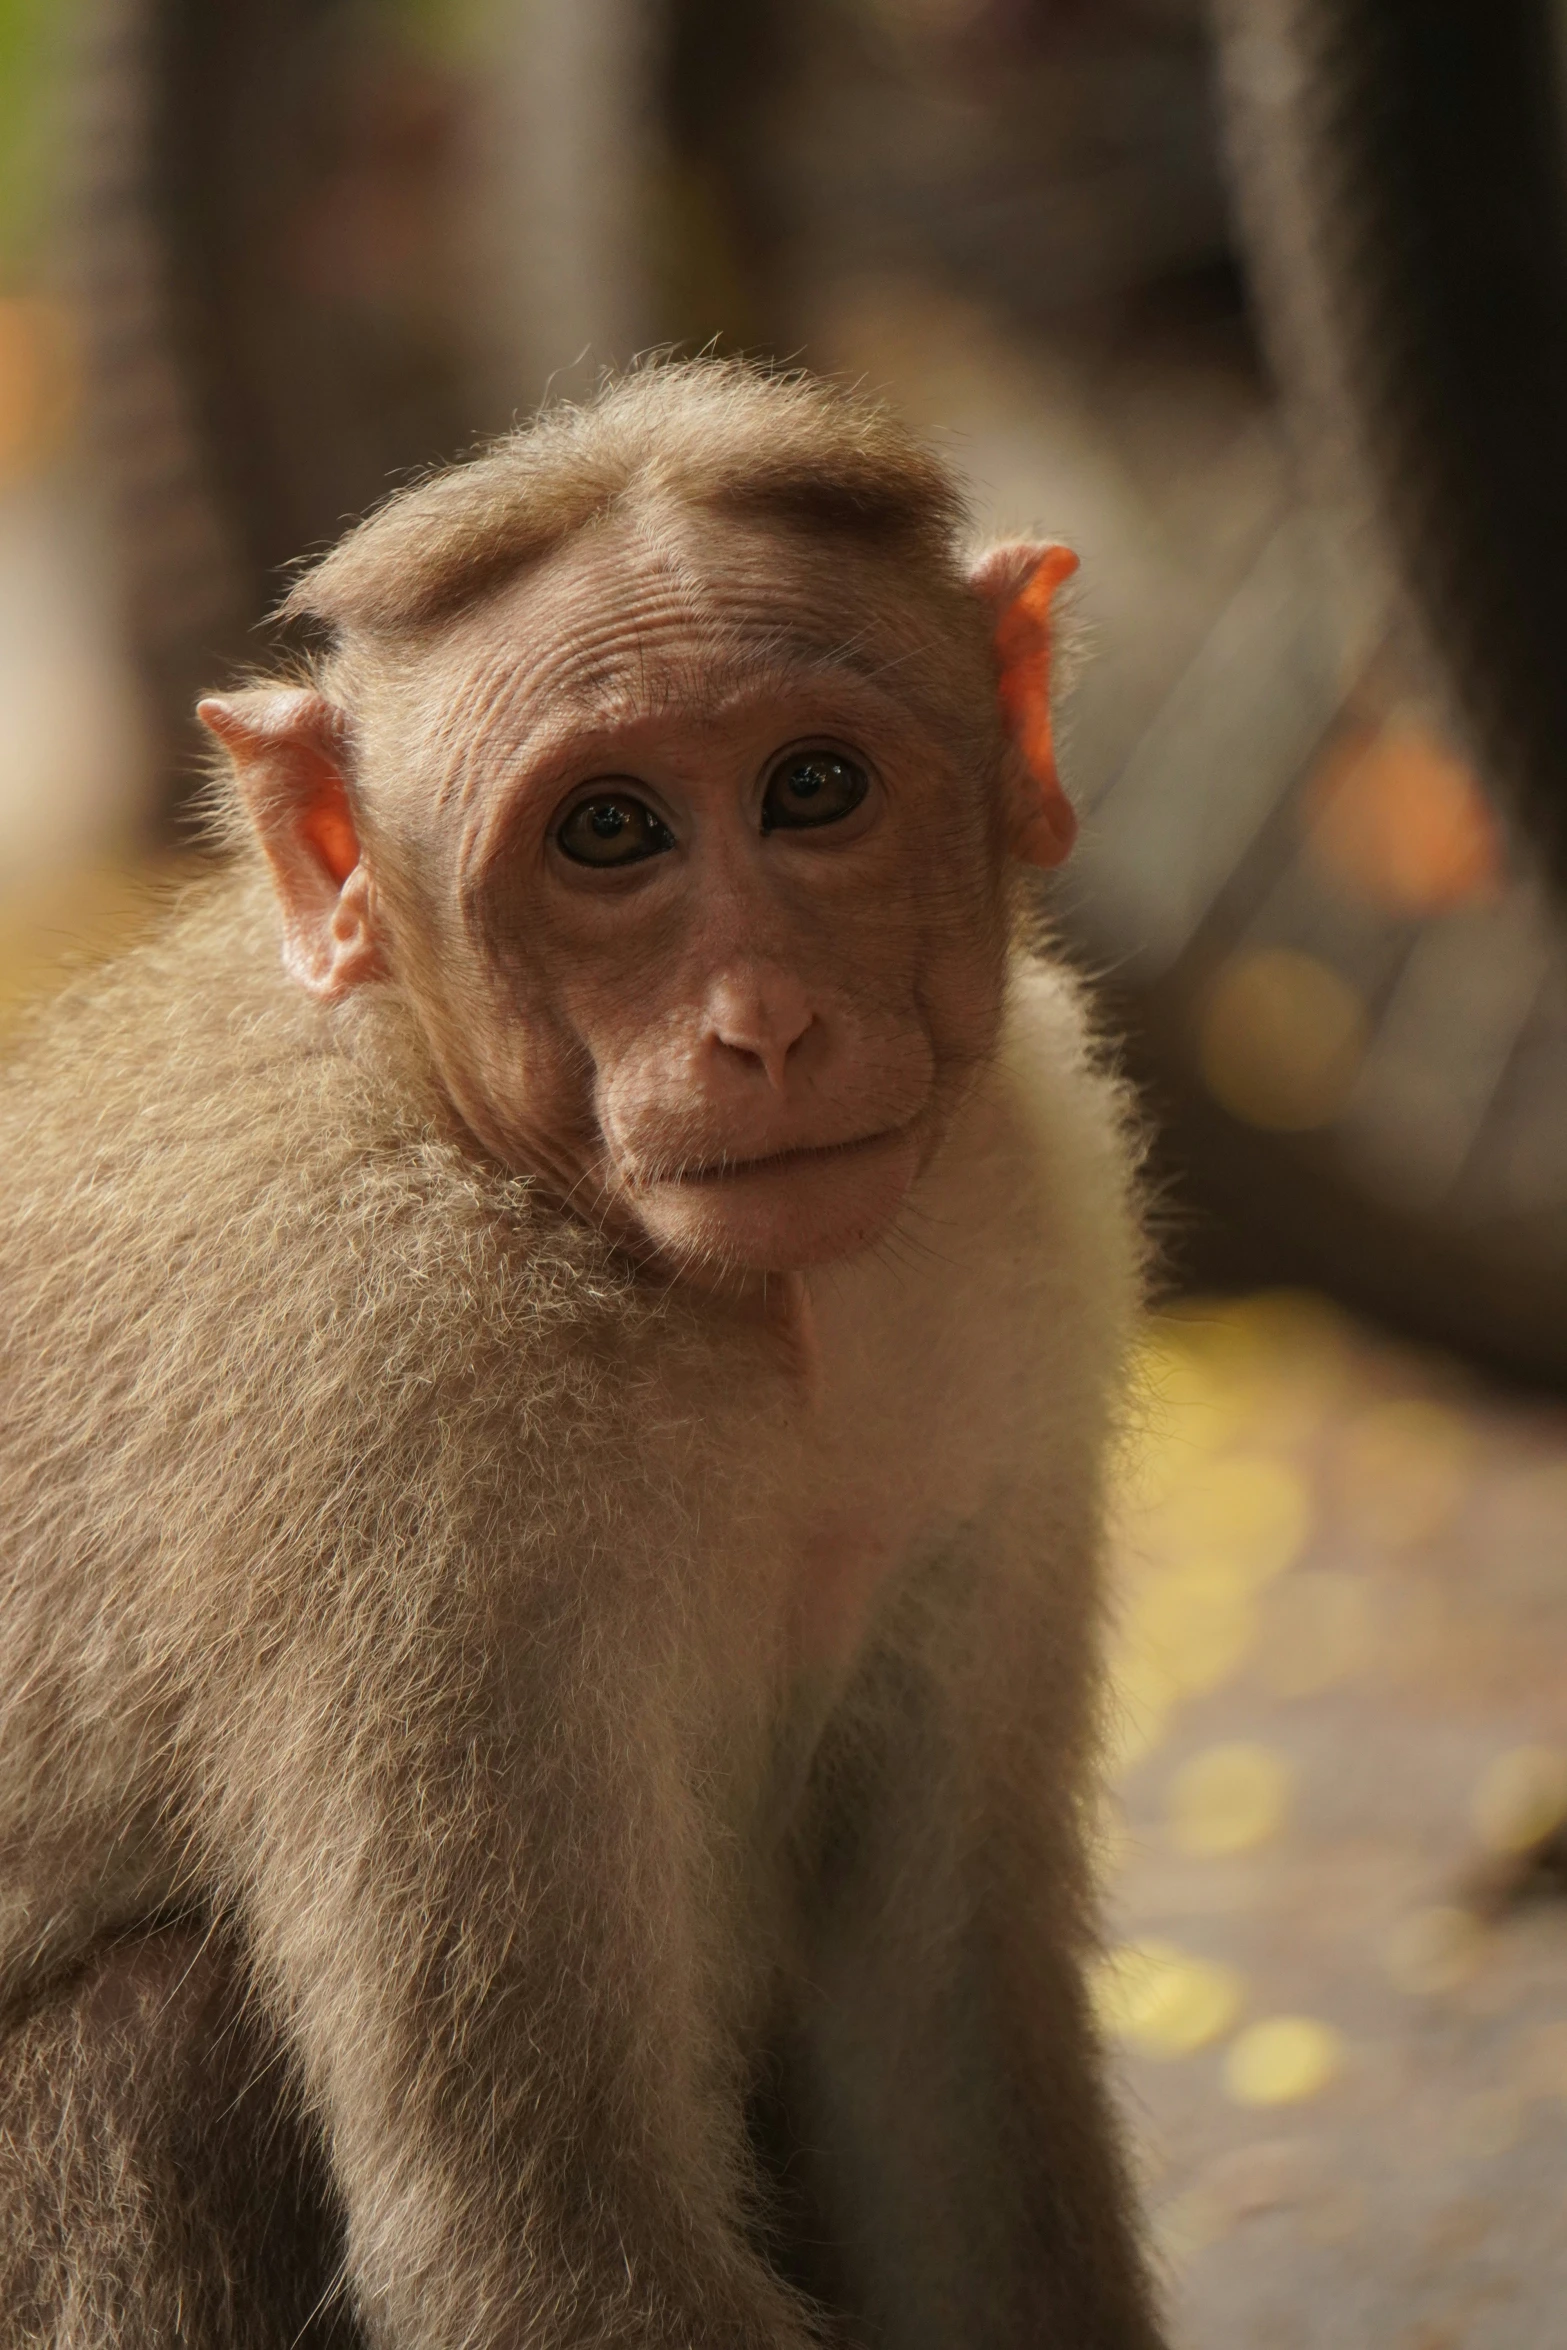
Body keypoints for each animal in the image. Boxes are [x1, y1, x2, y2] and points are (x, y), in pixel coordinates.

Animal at [0, 361, 1160, 2350]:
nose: (762, 1025)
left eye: (813, 790)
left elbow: (933, 2048)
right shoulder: (397, 1423)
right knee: (157, 2044)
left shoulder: (1017, 1248)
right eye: (606, 833)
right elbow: (541, 2223)